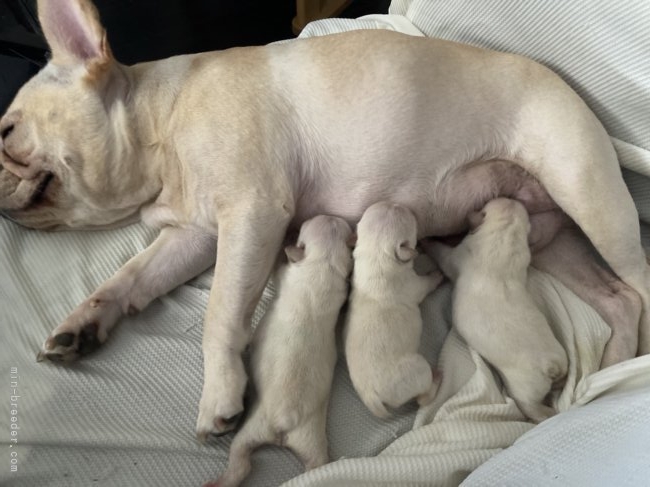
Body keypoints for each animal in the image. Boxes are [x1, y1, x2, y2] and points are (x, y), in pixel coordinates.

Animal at [206, 216, 350, 487]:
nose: (332, 216)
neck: (324, 263)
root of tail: (284, 423)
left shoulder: (286, 273)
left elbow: (276, 269)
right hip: (312, 441)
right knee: (316, 467)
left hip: (251, 431)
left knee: (240, 462)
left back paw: (217, 482)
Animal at [342, 202, 442, 420]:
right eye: (408, 216)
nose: (394, 202)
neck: (376, 255)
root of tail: (371, 396)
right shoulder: (415, 284)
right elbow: (428, 282)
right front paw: (438, 274)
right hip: (416, 370)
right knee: (423, 397)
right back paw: (437, 377)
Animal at [422, 198, 564, 424]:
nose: (514, 198)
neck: (505, 233)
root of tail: (551, 365)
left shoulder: (454, 256)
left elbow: (440, 252)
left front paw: (427, 241)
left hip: (524, 390)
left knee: (532, 408)